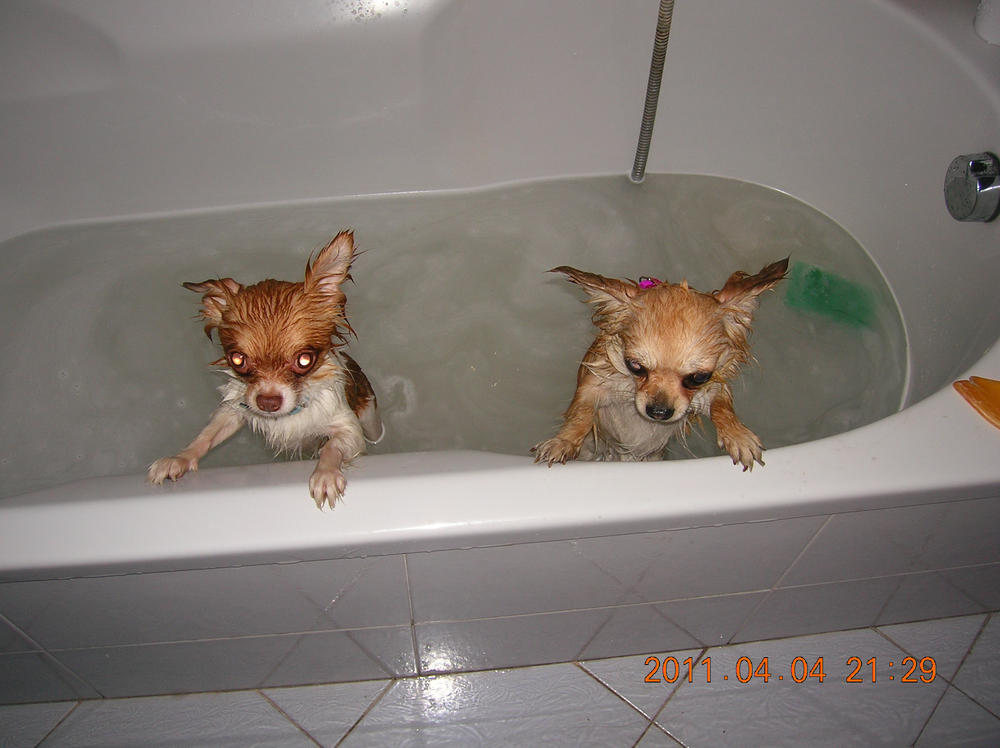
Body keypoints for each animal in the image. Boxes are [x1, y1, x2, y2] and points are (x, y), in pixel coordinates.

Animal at [147, 231, 383, 508]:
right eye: (237, 360)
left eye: (304, 360)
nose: (268, 402)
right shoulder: (235, 409)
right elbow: (207, 434)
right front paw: (180, 458)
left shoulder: (349, 431)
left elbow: (331, 447)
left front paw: (325, 474)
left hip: (369, 416)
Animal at [532, 258, 788, 470]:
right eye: (634, 366)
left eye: (699, 377)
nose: (659, 411)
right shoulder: (594, 385)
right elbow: (581, 413)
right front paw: (563, 442)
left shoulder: (711, 390)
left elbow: (722, 408)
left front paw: (738, 435)